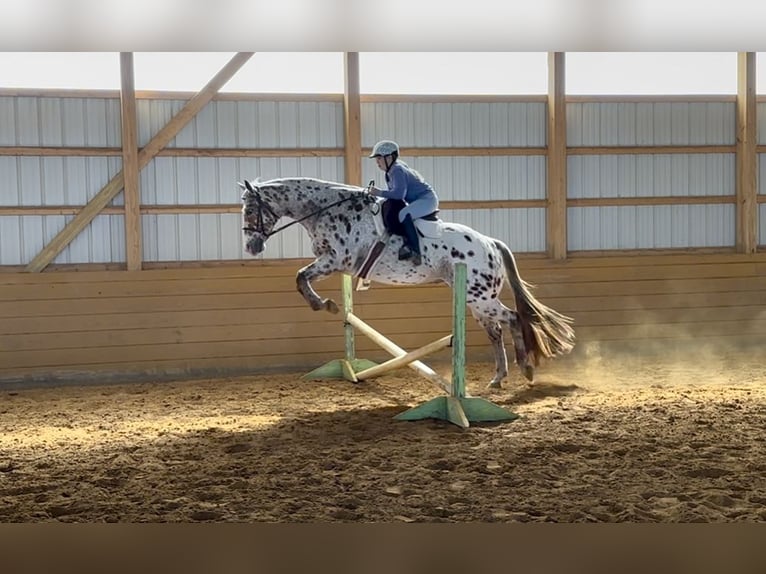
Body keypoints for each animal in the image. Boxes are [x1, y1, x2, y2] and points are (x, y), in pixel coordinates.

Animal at [239, 176, 575, 389]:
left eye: (252, 209)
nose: (252, 247)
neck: (329, 210)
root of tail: (490, 242)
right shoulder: (332, 262)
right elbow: (302, 277)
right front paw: (330, 305)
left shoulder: (336, 260)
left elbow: (301, 278)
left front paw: (326, 305)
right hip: (475, 300)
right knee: (496, 332)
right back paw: (498, 378)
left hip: (480, 298)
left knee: (514, 318)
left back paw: (526, 370)